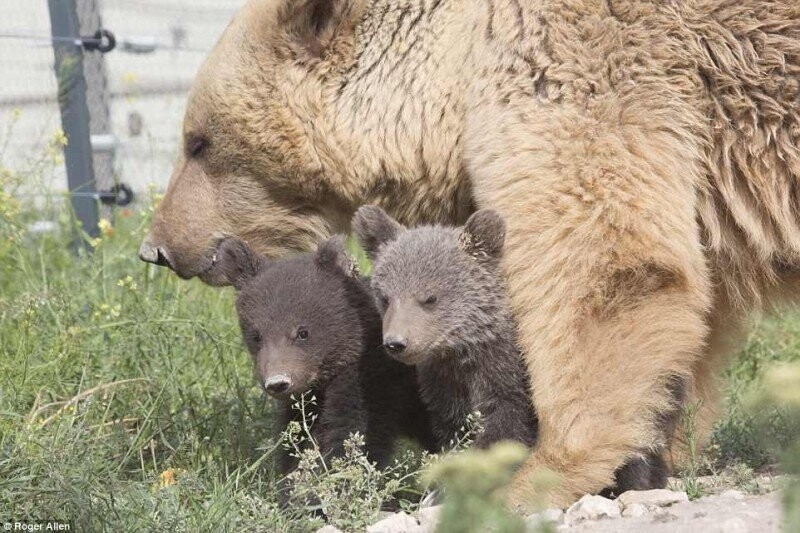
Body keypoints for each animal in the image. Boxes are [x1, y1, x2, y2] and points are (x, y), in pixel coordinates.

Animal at [141, 0, 800, 508]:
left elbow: (601, 265)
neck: (458, 60)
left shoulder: (579, 67)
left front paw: (534, 475)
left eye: (198, 141)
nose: (157, 248)